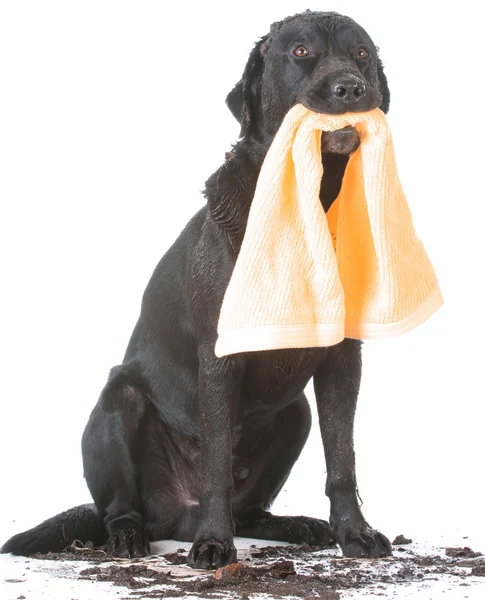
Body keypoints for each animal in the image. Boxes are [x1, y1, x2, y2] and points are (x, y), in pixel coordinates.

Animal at [1, 11, 392, 568]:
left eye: (361, 54)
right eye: (300, 52)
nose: (351, 88)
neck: (310, 199)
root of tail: (173, 516)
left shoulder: (342, 357)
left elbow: (342, 459)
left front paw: (354, 533)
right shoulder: (220, 354)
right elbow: (215, 466)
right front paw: (214, 543)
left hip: (294, 413)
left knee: (249, 510)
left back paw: (295, 525)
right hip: (118, 400)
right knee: (120, 506)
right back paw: (133, 537)